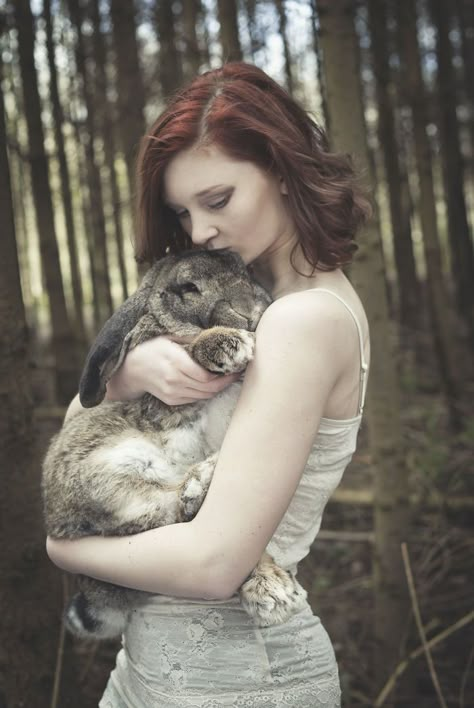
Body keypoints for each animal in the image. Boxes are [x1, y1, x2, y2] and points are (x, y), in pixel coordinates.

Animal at [41, 250, 308, 640]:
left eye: (246, 270)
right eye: (188, 288)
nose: (248, 311)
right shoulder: (163, 400)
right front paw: (227, 345)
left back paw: (272, 586)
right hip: (110, 478)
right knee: (177, 516)